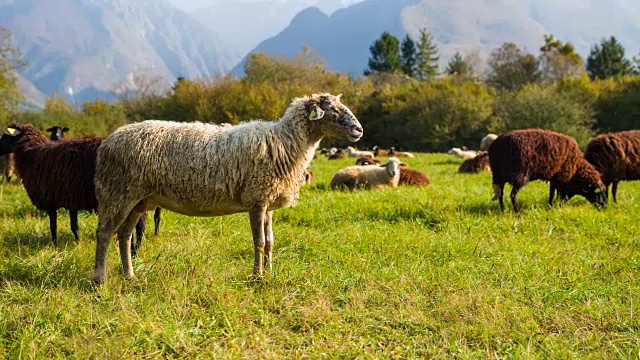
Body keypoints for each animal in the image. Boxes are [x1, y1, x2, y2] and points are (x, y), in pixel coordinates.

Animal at [0, 123, 146, 248]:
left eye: (5, 136)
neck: (32, 154)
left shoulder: (51, 200)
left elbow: (53, 226)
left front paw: (55, 245)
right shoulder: (71, 199)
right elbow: (74, 225)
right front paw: (77, 242)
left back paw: (133, 249)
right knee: (140, 223)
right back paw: (136, 247)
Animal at [91, 93, 364, 284]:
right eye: (331, 109)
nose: (359, 130)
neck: (285, 142)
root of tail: (109, 141)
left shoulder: (268, 203)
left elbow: (271, 241)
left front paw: (270, 271)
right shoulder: (257, 199)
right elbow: (259, 241)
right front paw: (257, 276)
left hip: (138, 200)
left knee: (124, 235)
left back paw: (129, 275)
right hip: (117, 193)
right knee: (104, 233)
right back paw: (99, 279)